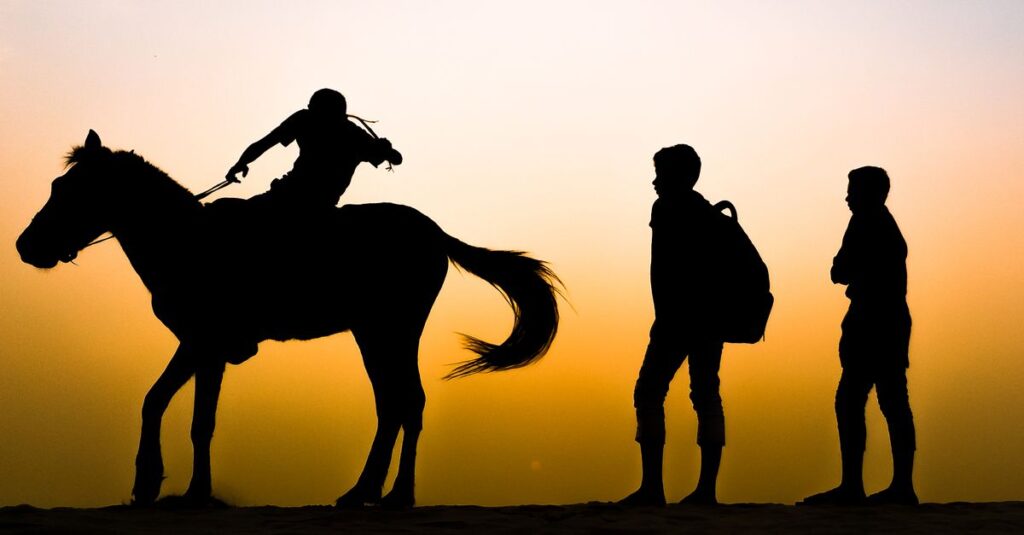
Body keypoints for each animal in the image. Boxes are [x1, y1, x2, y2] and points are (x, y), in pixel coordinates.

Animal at [16, 130, 561, 508]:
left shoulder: (204, 343)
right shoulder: (202, 346)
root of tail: (434, 231)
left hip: (391, 330)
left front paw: (178, 489)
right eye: (57, 184)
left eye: (72, 190)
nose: (26, 246)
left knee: (405, 402)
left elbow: (188, 416)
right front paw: (164, 486)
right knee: (394, 405)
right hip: (377, 333)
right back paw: (367, 492)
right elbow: (171, 408)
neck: (185, 241)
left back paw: (392, 495)